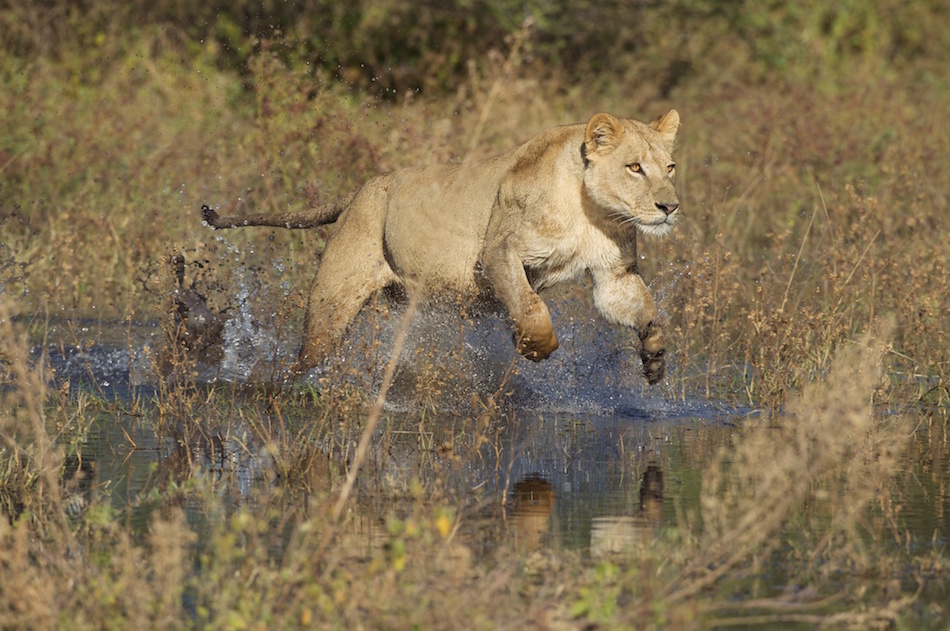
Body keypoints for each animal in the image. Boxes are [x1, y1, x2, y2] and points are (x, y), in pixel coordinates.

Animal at [202, 110, 680, 384]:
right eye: (635, 168)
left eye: (670, 166)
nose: (670, 206)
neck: (592, 210)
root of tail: (360, 190)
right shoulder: (499, 251)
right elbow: (530, 306)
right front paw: (534, 346)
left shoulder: (614, 274)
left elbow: (646, 310)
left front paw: (655, 358)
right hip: (331, 305)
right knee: (308, 354)